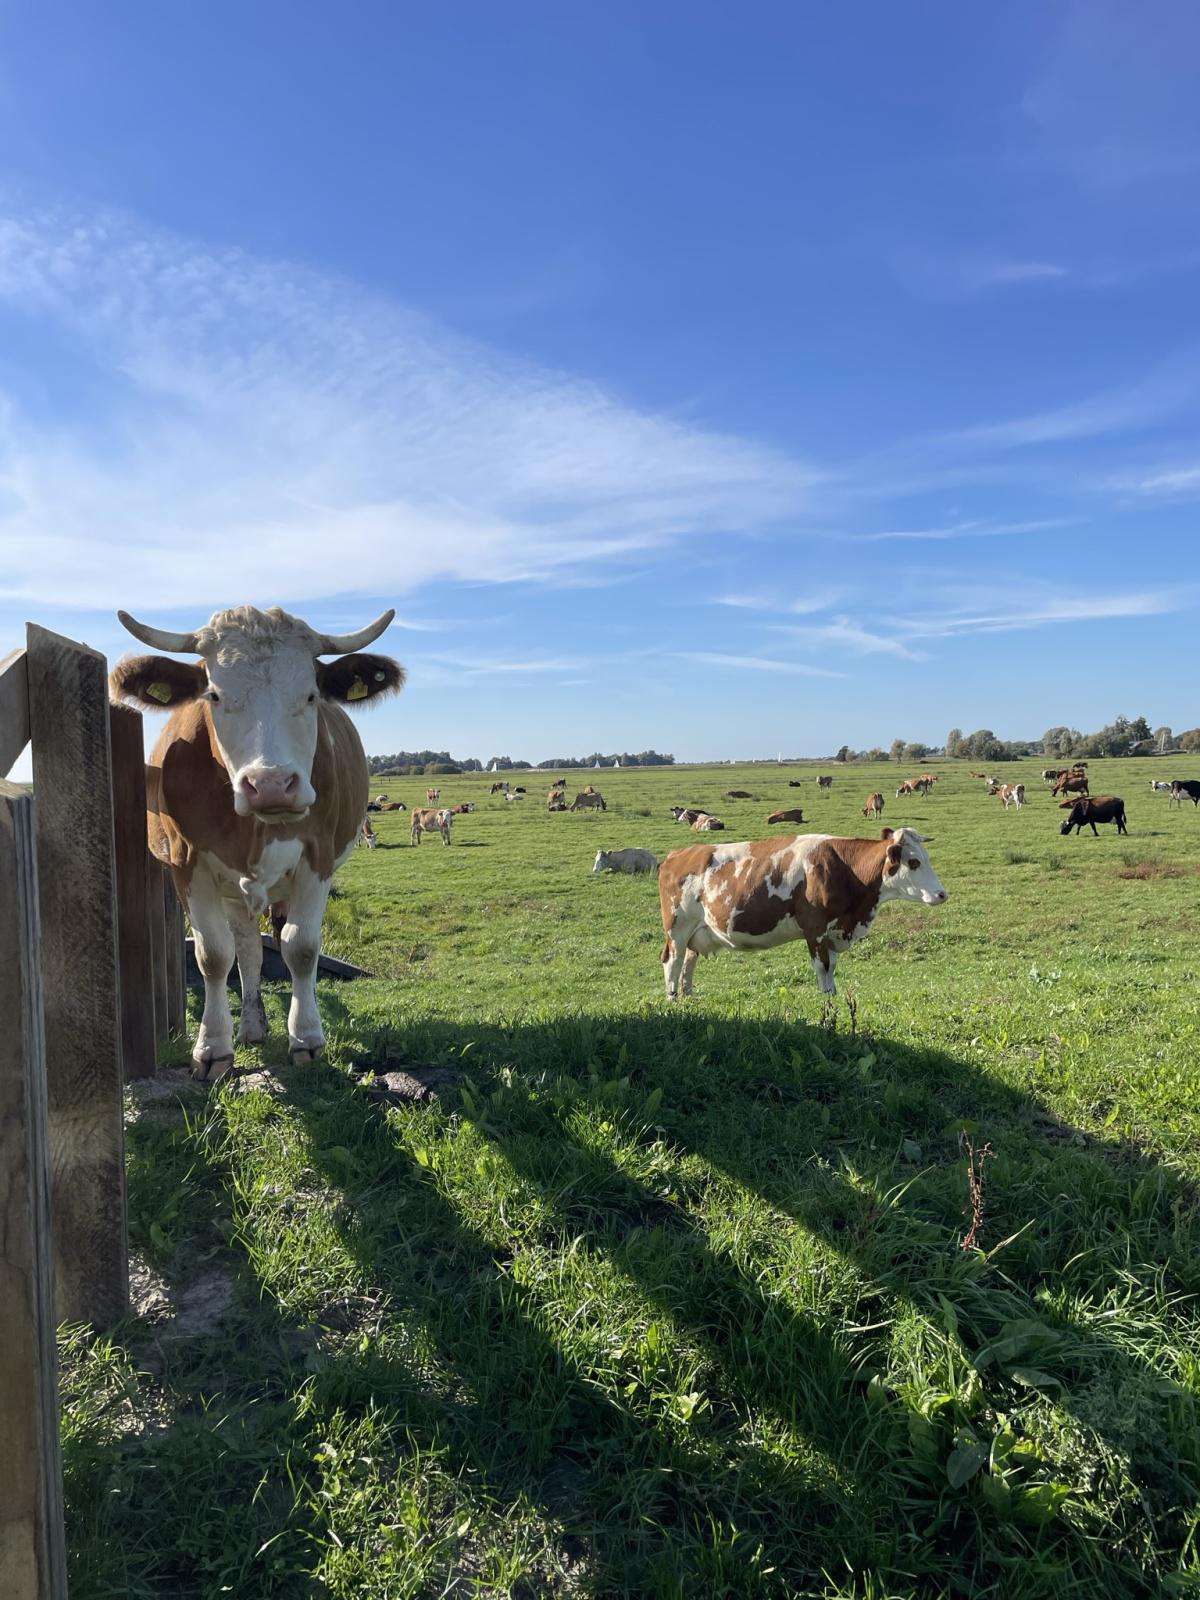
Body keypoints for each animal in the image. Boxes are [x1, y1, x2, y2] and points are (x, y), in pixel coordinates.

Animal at [109, 604, 400, 1081]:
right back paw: (250, 1026)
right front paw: (213, 1048)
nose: (271, 785)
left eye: (310, 696)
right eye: (214, 695)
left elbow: (301, 948)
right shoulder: (188, 864)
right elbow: (214, 955)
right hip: (231, 889)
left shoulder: (317, 858)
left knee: (273, 941)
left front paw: (307, 1039)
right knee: (246, 948)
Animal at [659, 832, 947, 992]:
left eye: (926, 858)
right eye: (913, 862)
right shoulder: (815, 930)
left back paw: (688, 998)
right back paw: (673, 1002)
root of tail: (680, 853)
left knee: (687, 965)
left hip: (697, 933)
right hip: (677, 930)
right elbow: (823, 970)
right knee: (672, 963)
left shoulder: (832, 933)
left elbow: (832, 972)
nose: (942, 894)